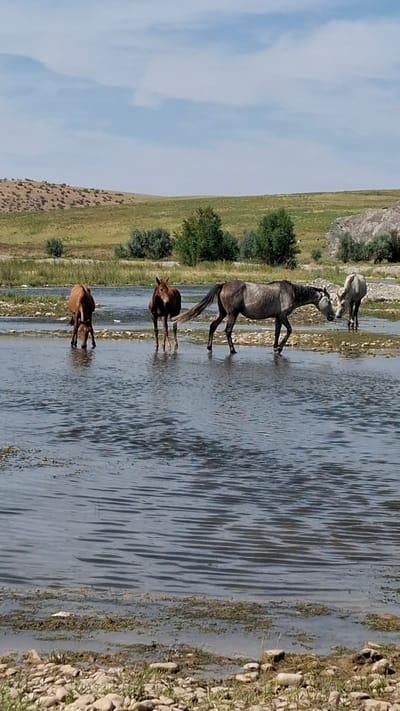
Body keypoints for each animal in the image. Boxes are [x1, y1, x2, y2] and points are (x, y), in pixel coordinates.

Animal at [173, 279, 335, 355]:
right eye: (329, 300)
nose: (333, 316)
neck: (292, 293)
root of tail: (223, 284)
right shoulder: (283, 316)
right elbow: (289, 330)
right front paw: (279, 349)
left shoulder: (278, 318)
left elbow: (277, 333)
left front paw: (275, 348)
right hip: (232, 314)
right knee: (228, 331)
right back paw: (232, 350)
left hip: (223, 313)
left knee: (213, 326)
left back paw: (209, 347)